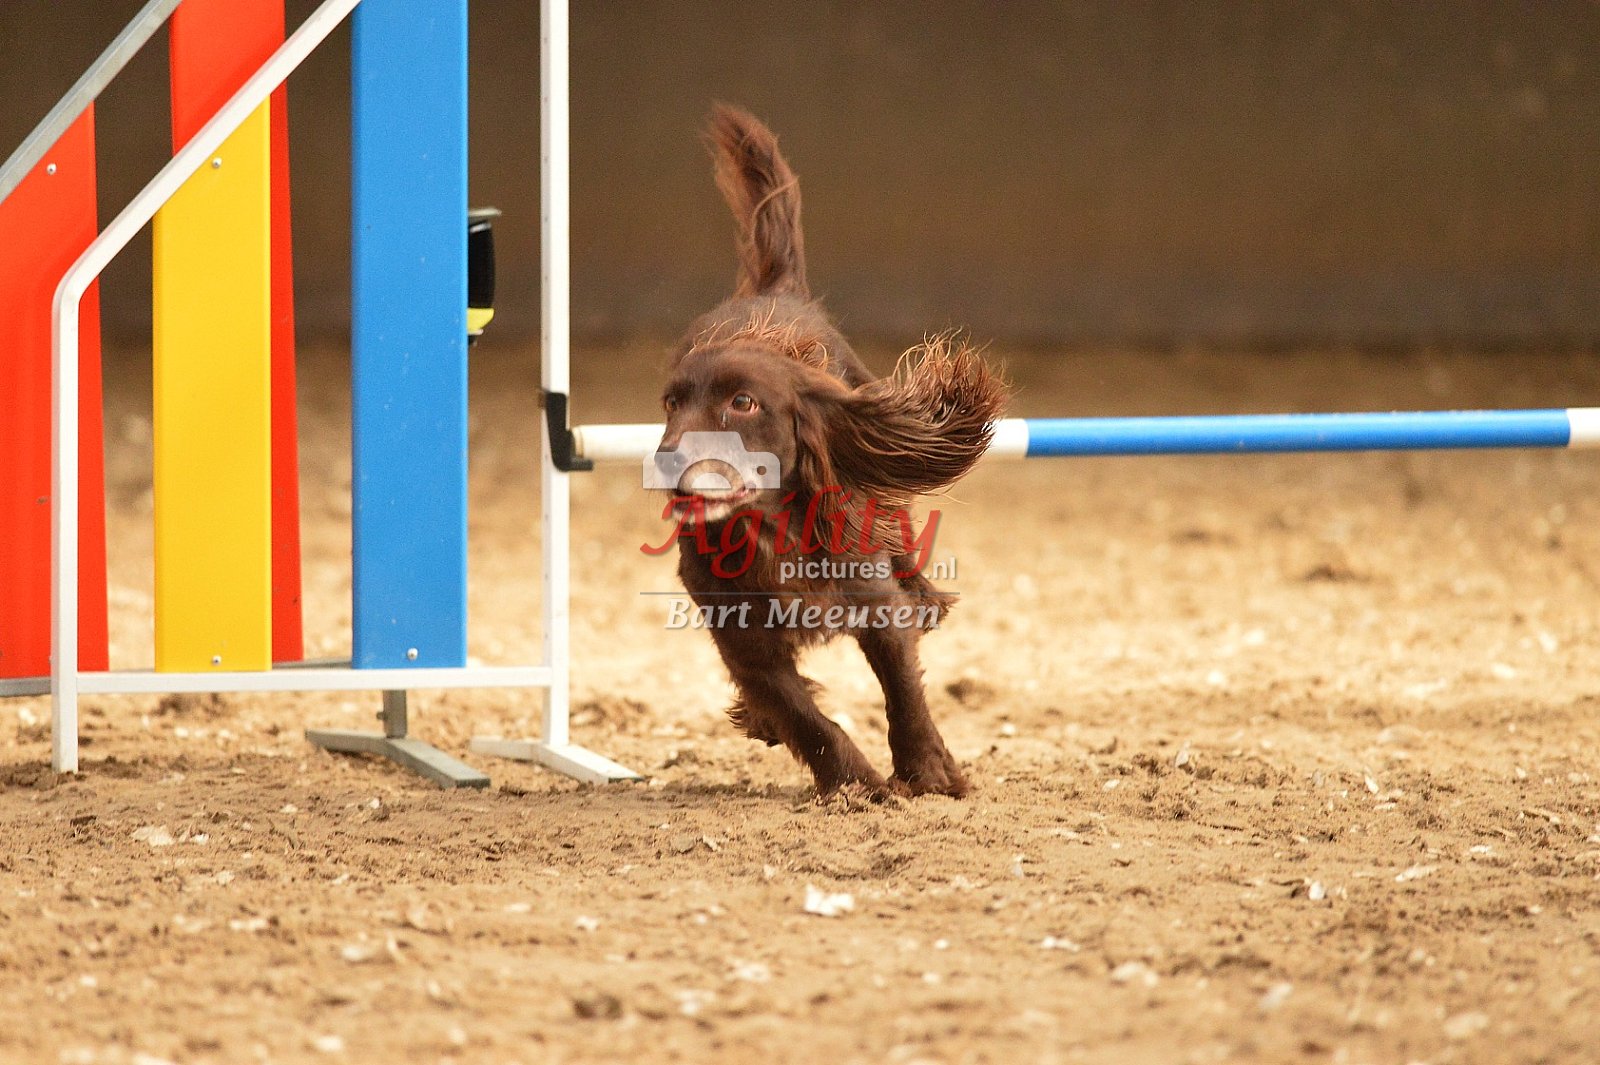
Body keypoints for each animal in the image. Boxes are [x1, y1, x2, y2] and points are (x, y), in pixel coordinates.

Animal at [651, 105, 1006, 799]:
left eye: (743, 403)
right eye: (671, 404)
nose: (669, 459)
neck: (771, 529)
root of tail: (776, 292)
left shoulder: (875, 605)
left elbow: (903, 692)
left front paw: (927, 773)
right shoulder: (744, 640)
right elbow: (804, 715)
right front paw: (855, 785)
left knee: (900, 530)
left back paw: (926, 595)